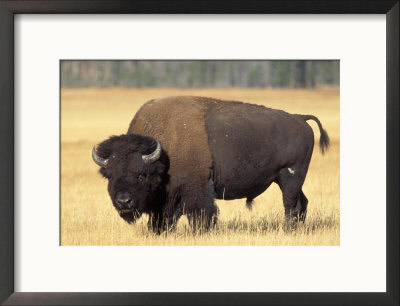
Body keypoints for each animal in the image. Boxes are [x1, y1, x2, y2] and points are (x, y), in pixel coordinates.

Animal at [92, 95, 330, 232]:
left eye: (141, 174)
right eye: (109, 175)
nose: (124, 201)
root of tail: (300, 118)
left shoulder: (196, 189)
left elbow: (201, 214)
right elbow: (163, 219)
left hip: (291, 176)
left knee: (291, 205)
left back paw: (287, 230)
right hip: (285, 179)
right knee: (302, 203)